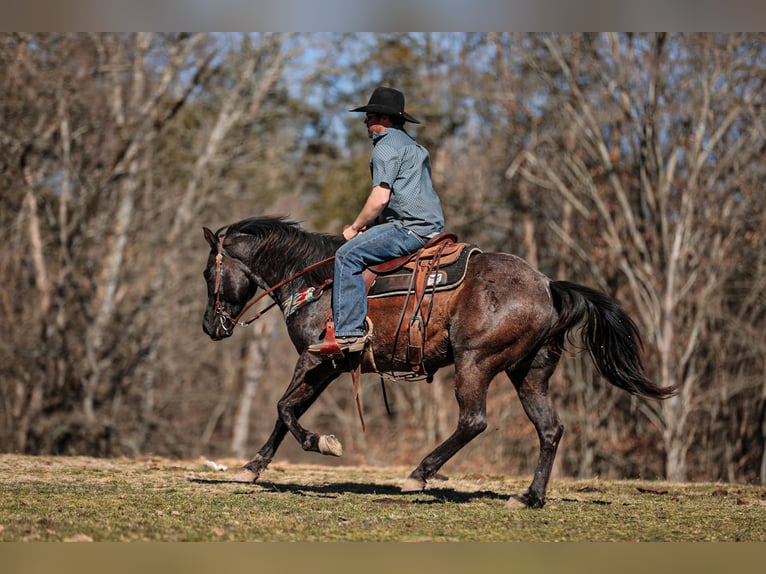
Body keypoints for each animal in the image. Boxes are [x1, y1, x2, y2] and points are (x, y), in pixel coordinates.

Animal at [201, 216, 676, 508]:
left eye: (208, 274)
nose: (210, 325)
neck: (316, 280)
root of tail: (546, 285)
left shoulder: (315, 360)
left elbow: (284, 408)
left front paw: (322, 443)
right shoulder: (330, 368)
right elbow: (286, 413)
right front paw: (252, 467)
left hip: (475, 362)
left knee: (473, 421)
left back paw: (419, 474)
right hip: (529, 372)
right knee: (550, 429)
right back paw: (529, 497)